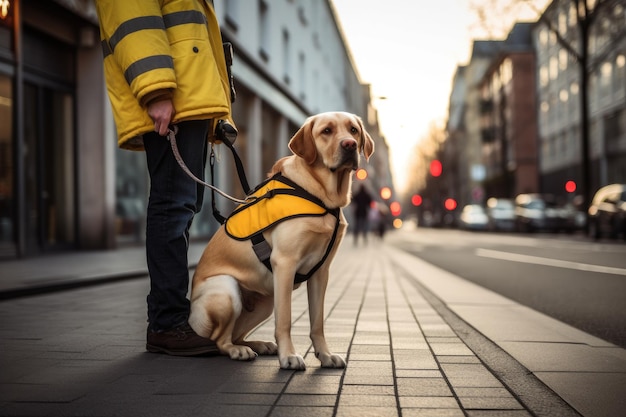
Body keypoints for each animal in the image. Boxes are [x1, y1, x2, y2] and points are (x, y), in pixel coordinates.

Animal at [188, 110, 372, 368]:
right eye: (326, 131)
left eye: (353, 130)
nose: (350, 144)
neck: (321, 196)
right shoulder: (284, 263)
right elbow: (284, 320)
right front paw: (289, 356)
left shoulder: (321, 271)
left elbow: (318, 322)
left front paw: (324, 355)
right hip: (227, 289)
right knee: (220, 340)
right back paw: (238, 351)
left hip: (264, 303)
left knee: (236, 334)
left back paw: (258, 345)